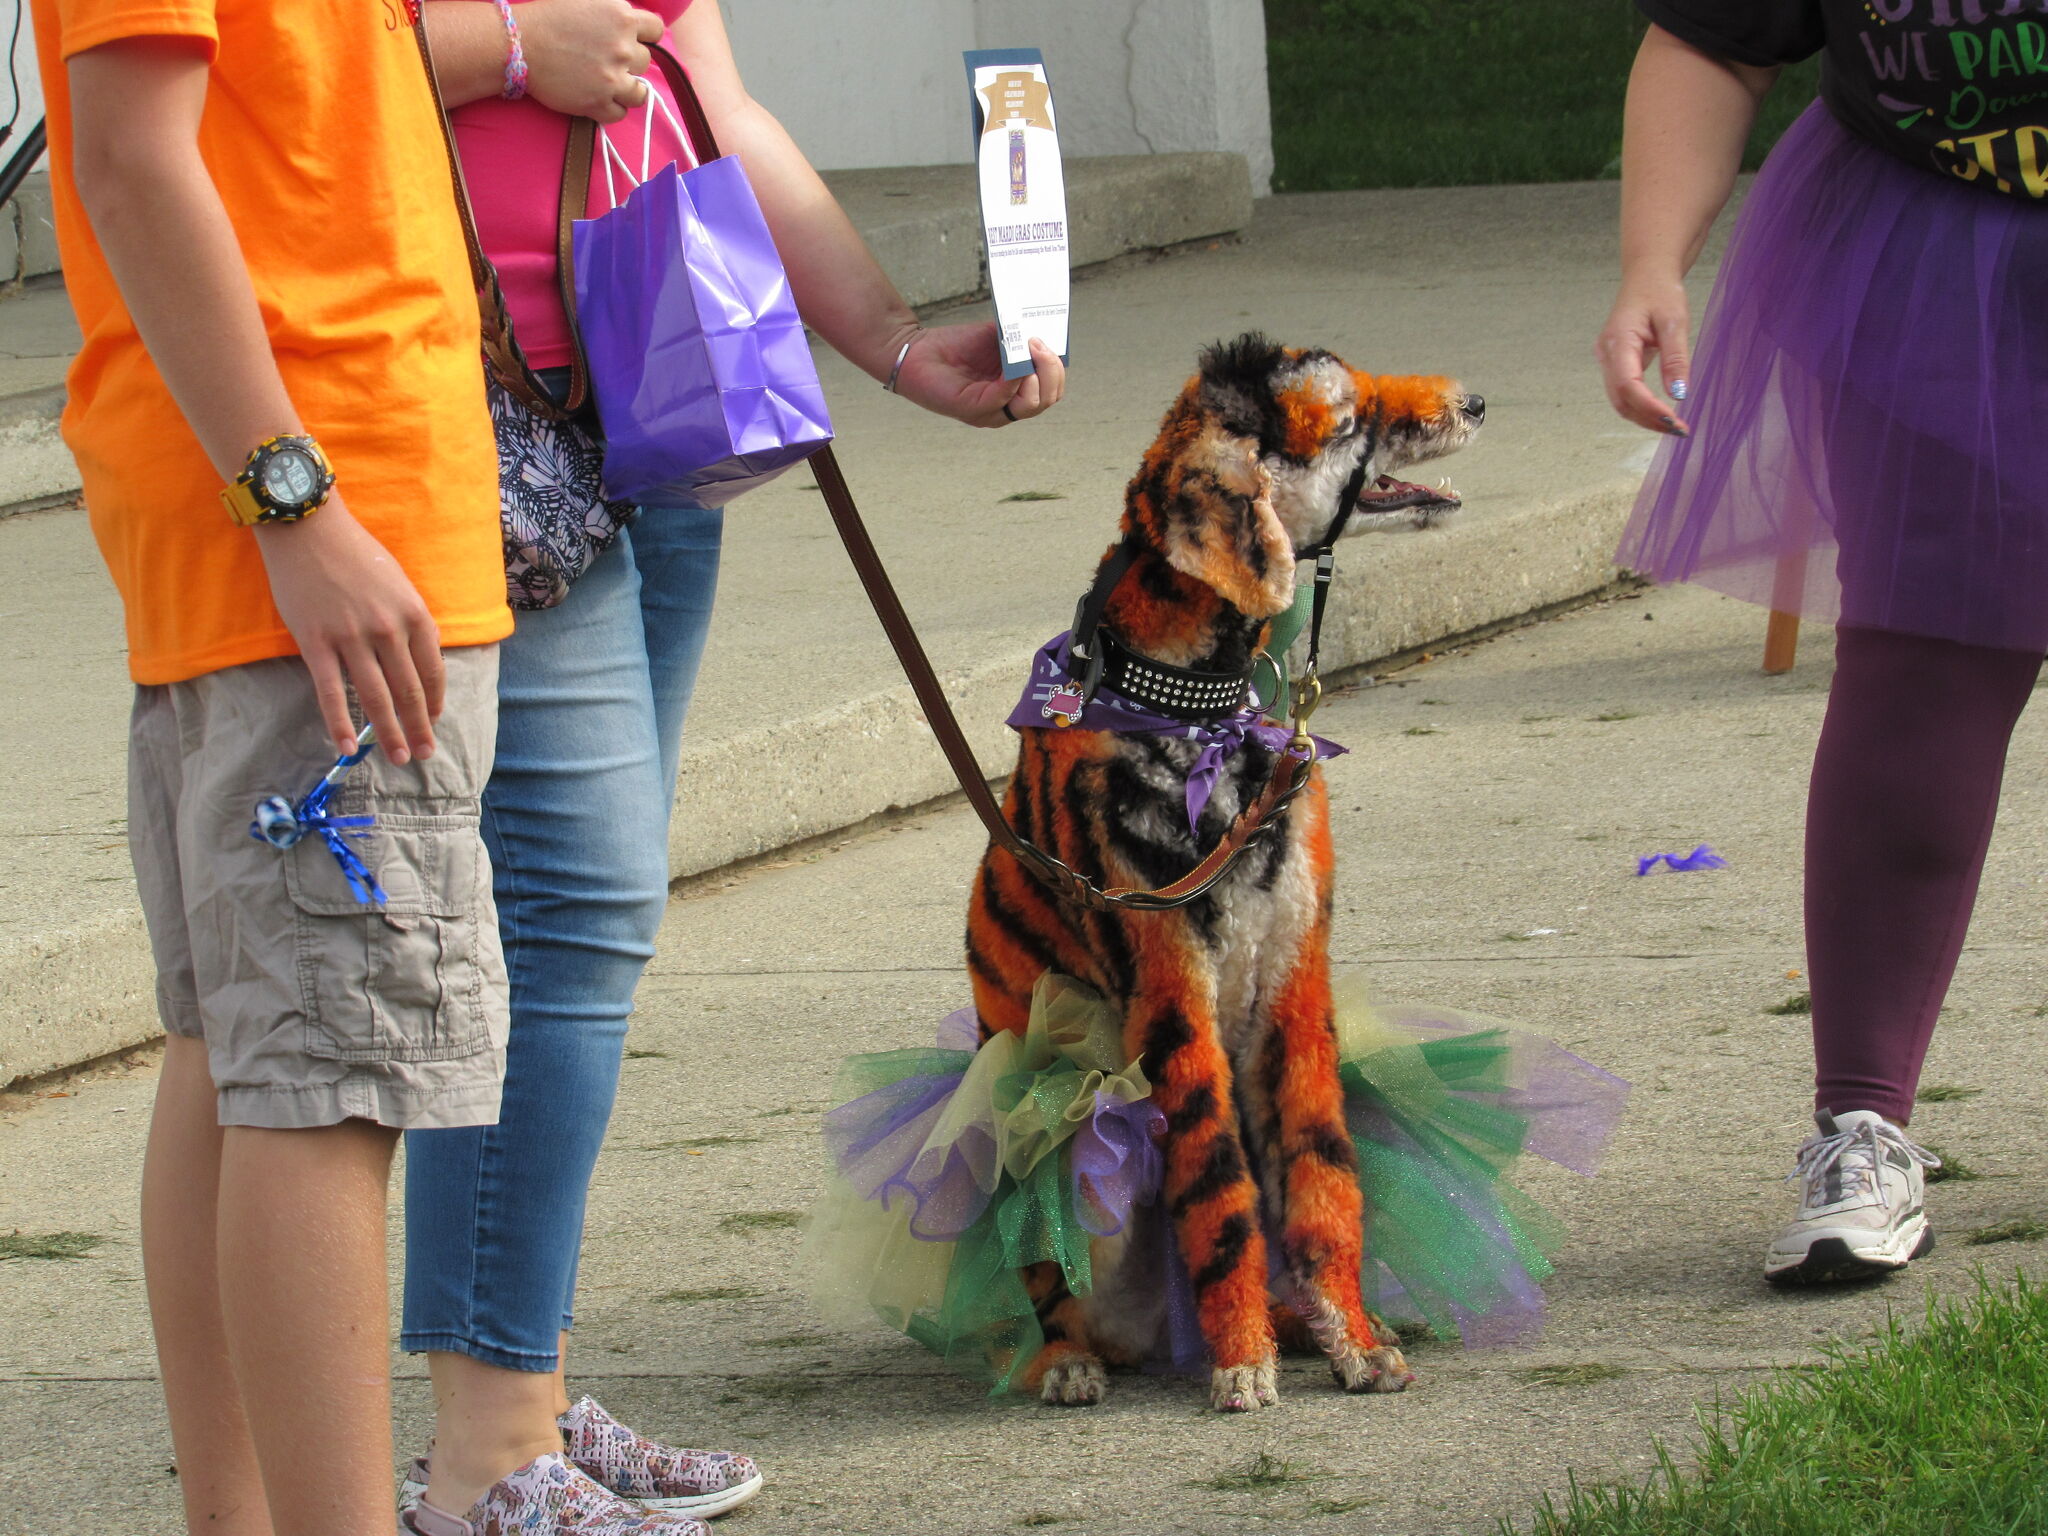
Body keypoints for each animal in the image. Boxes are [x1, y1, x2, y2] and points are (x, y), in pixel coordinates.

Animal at [966, 335, 1482, 1417]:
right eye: (1348, 414)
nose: (1475, 402)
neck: (1196, 711)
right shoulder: (1175, 1001)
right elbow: (1221, 1192)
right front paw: (1242, 1357)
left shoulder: (1293, 977)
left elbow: (1319, 1176)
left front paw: (1347, 1337)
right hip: (1030, 1124)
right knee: (1047, 1276)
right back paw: (1068, 1359)